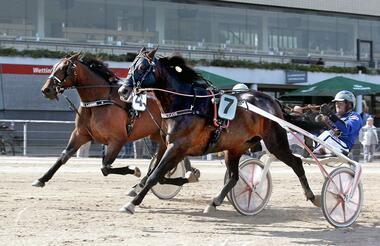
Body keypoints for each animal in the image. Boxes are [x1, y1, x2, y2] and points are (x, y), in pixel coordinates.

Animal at [33, 52, 196, 189]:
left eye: (64, 68)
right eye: (53, 67)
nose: (46, 90)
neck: (98, 101)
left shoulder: (118, 140)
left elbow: (105, 167)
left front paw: (134, 170)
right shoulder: (80, 134)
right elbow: (64, 156)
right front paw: (41, 179)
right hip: (157, 135)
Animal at [119, 48, 320, 213]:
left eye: (142, 67)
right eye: (130, 67)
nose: (123, 90)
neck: (186, 103)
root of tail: (273, 100)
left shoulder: (177, 147)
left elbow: (155, 175)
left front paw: (132, 204)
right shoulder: (165, 144)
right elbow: (154, 173)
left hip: (275, 142)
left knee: (296, 163)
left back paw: (312, 196)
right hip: (235, 147)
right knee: (234, 177)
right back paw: (214, 202)